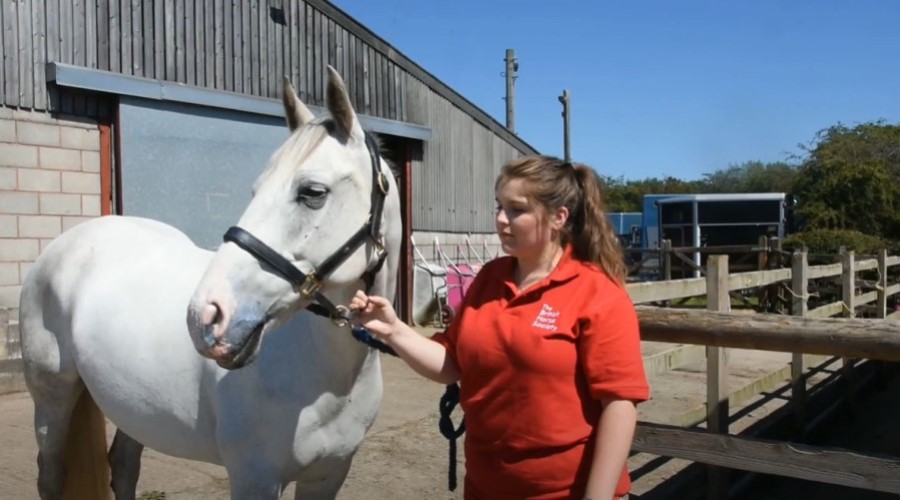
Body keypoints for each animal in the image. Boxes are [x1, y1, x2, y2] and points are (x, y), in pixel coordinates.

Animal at [18, 67, 400, 500]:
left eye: (313, 192)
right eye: (255, 190)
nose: (204, 316)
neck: (330, 380)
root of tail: (66, 243)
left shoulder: (328, 476)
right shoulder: (254, 478)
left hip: (134, 407)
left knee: (124, 465)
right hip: (52, 395)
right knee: (51, 474)